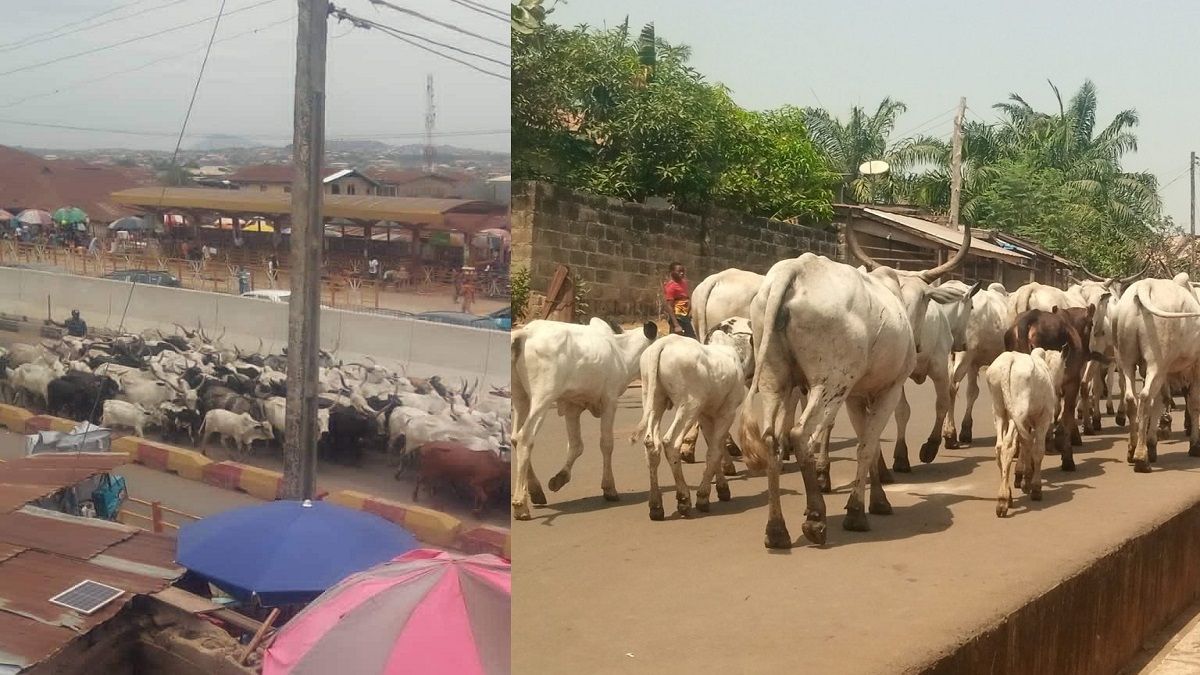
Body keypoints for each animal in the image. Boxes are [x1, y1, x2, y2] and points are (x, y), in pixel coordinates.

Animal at [506, 317, 657, 516]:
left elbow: (576, 446)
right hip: (542, 398)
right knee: (525, 438)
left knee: (515, 438)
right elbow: (606, 444)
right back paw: (520, 504)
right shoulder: (610, 400)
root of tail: (525, 333)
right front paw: (609, 488)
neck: (621, 352)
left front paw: (560, 479)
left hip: (520, 398)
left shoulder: (572, 407)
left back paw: (536, 491)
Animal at [988, 345, 1065, 514]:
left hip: (999, 411)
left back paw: (1008, 495)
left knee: (999, 447)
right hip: (1017, 411)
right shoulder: (1043, 419)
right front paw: (1036, 488)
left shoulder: (1026, 422)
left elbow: (1026, 445)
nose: (1060, 392)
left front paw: (1026, 480)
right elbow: (1037, 451)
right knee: (1008, 446)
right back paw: (1003, 499)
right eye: (1063, 367)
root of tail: (1008, 359)